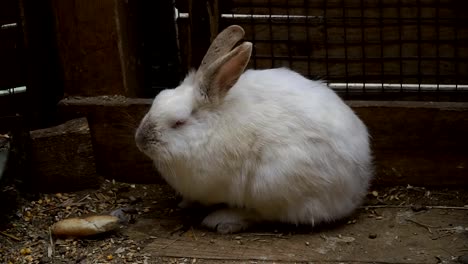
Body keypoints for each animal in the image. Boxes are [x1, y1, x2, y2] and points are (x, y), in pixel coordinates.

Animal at [136, 25, 372, 234]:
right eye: (158, 98)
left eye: (179, 122)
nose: (140, 140)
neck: (212, 128)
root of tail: (358, 186)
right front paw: (185, 203)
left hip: (271, 185)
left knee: (264, 214)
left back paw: (223, 220)